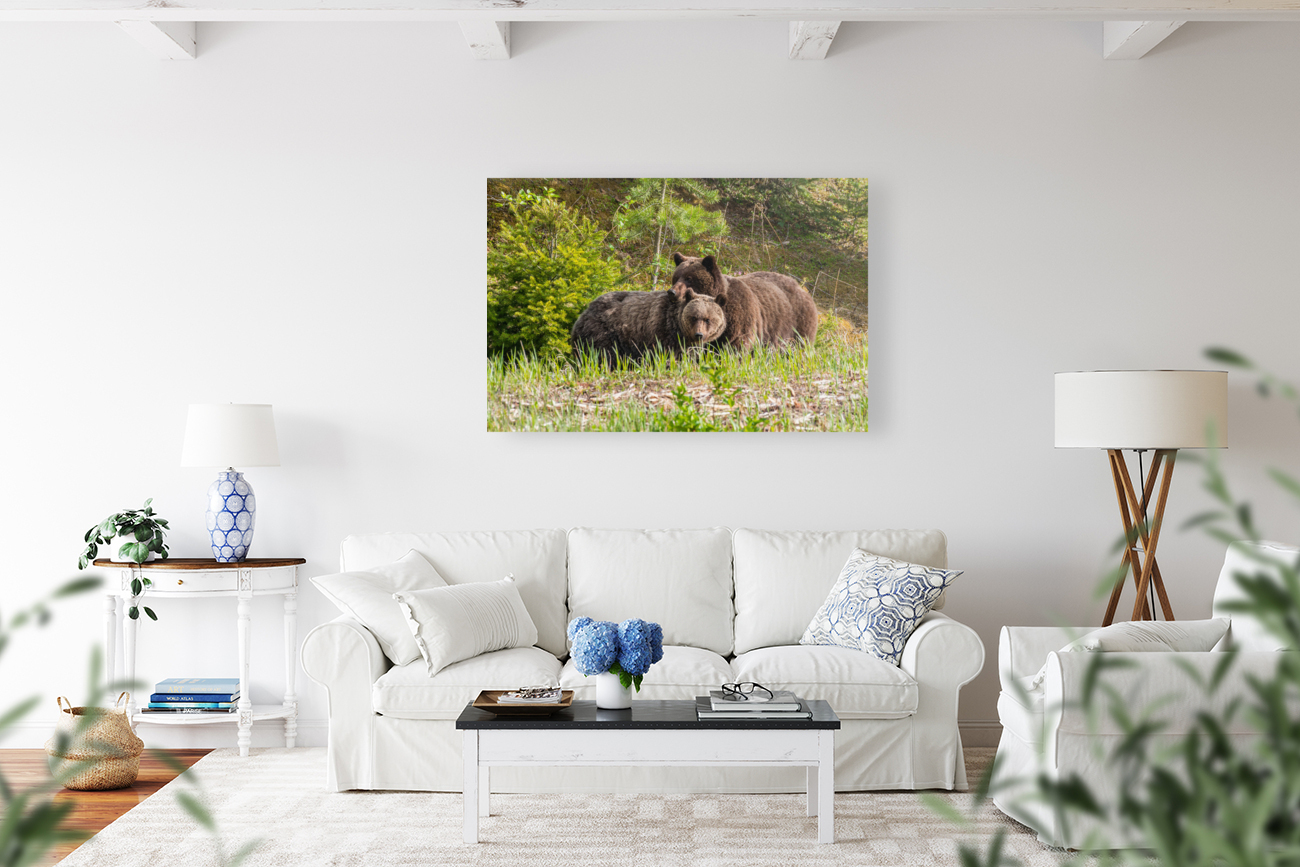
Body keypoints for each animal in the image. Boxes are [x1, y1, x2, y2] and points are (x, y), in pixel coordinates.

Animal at [570, 283, 726, 362]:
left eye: (708, 319)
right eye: (694, 317)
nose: (699, 334)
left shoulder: (687, 344)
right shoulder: (660, 330)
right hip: (604, 332)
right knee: (603, 355)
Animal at [669, 253, 818, 351]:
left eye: (689, 278)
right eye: (676, 277)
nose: (672, 292)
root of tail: (802, 288)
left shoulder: (741, 317)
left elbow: (736, 345)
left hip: (796, 323)